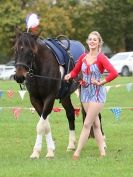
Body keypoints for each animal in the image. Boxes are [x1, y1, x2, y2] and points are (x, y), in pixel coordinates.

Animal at [13, 29, 105, 159]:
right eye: (16, 49)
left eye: (31, 51)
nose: (19, 76)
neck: (40, 70)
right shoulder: (35, 99)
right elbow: (45, 124)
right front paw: (45, 150)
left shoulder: (49, 98)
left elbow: (41, 125)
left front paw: (44, 151)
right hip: (65, 96)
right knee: (70, 113)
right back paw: (71, 145)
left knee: (96, 115)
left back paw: (103, 142)